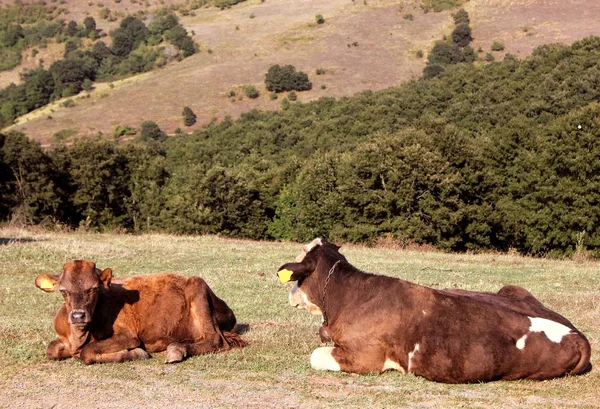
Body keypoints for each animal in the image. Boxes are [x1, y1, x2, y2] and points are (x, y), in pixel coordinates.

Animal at [34, 258, 246, 364]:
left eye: (93, 288)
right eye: (63, 290)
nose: (78, 315)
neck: (78, 338)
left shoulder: (128, 336)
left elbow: (87, 353)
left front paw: (135, 353)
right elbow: (50, 349)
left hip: (197, 285)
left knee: (215, 339)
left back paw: (176, 350)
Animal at [276, 237, 592, 380]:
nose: (290, 294)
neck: (346, 297)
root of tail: (579, 336)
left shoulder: (366, 357)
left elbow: (315, 356)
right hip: (512, 289)